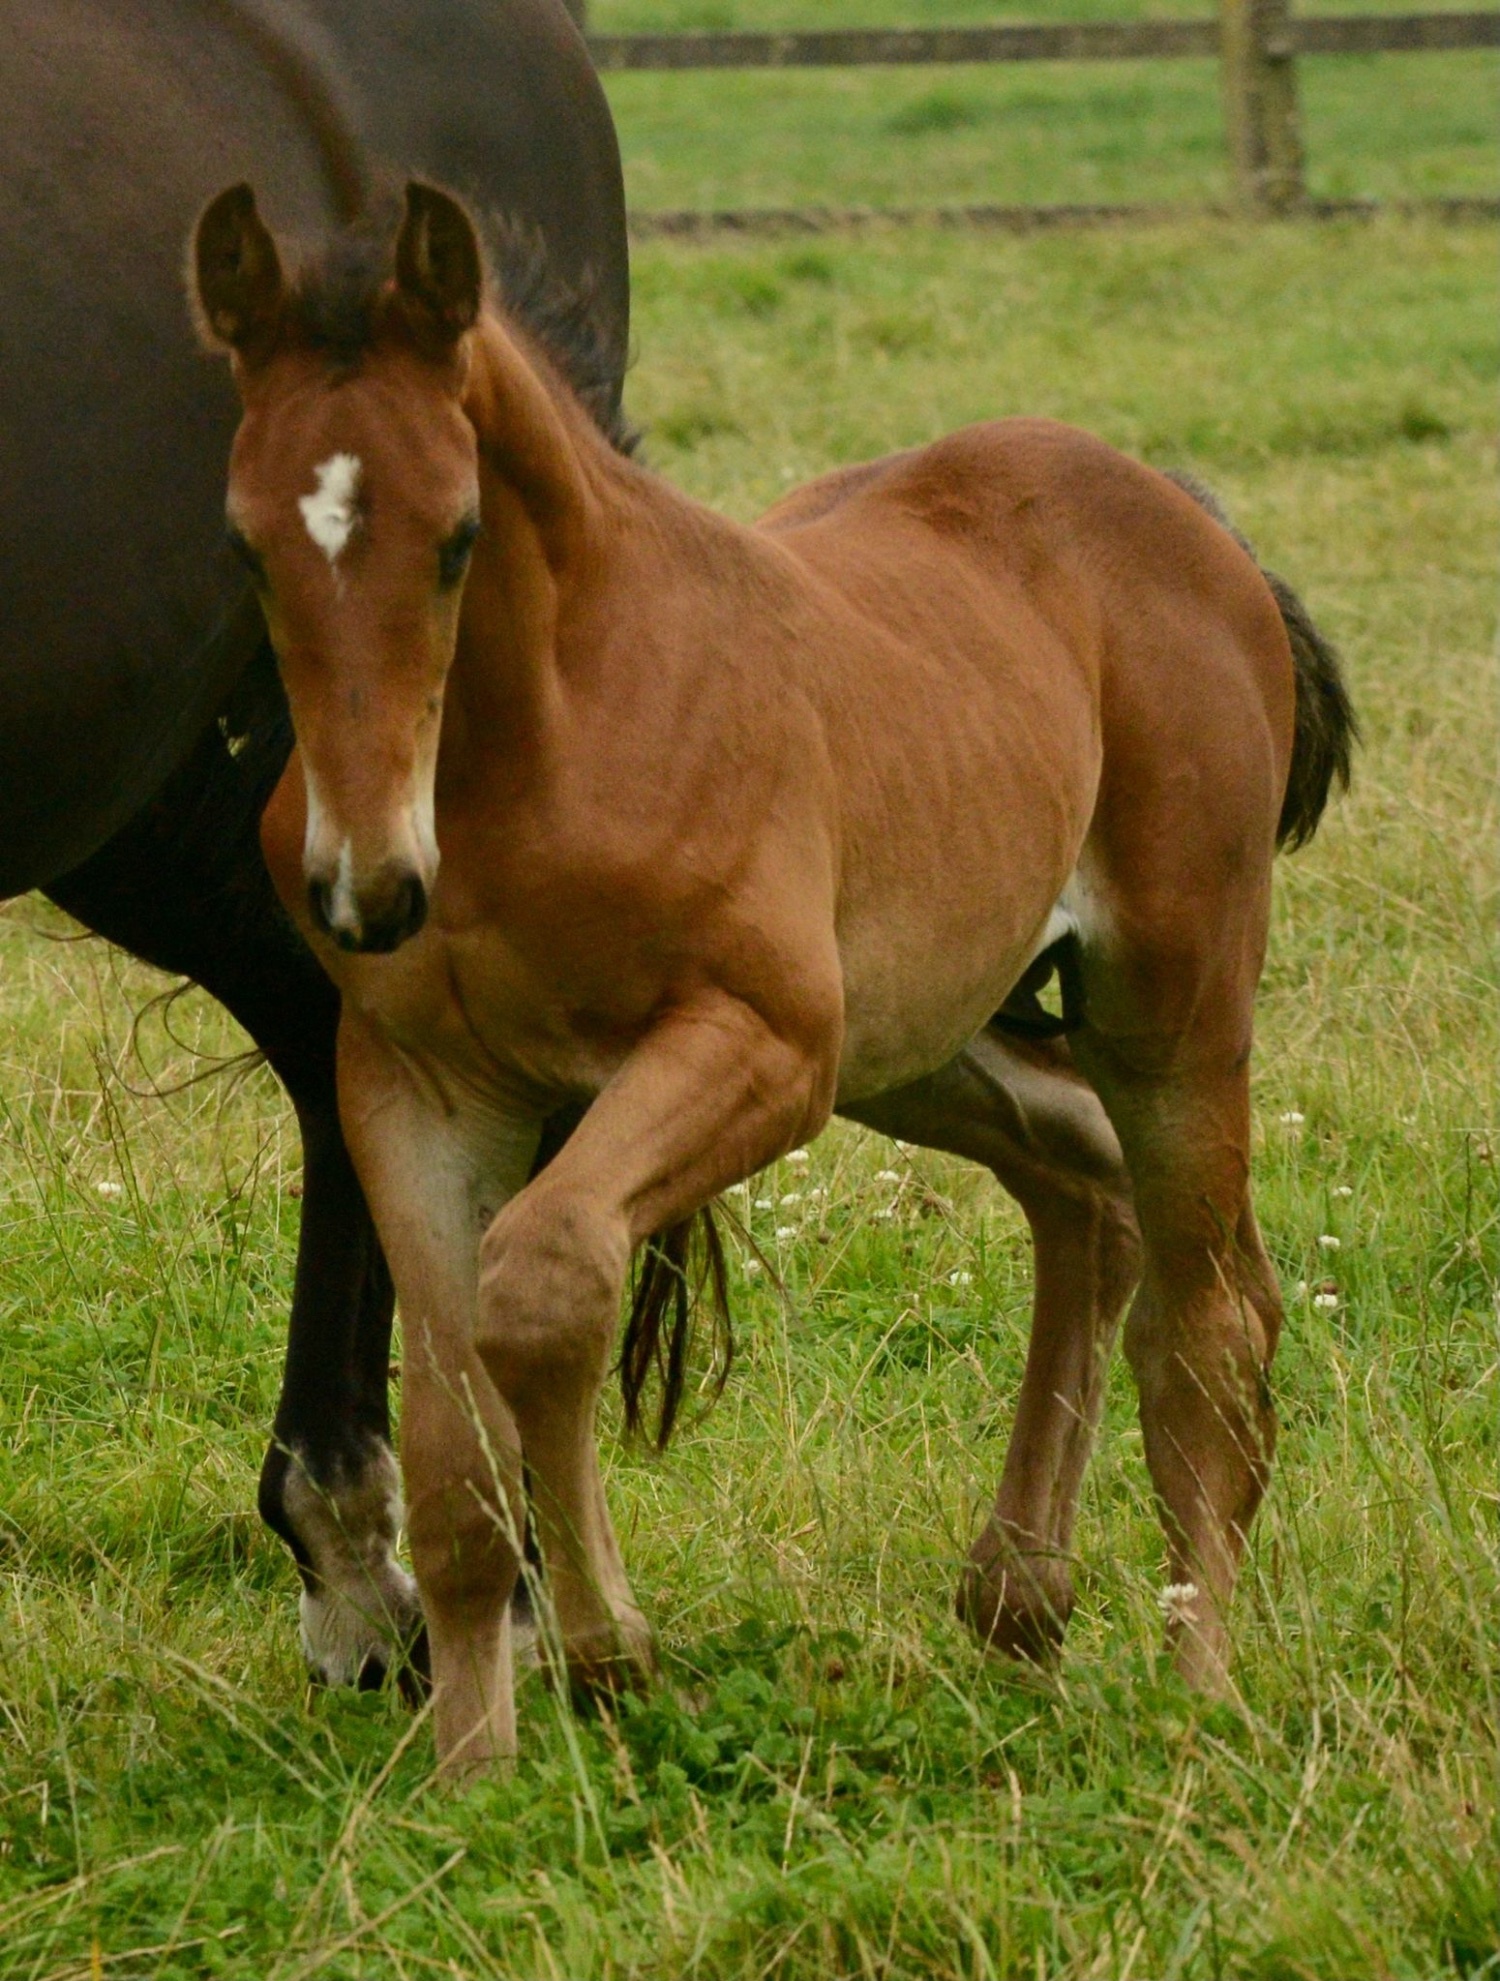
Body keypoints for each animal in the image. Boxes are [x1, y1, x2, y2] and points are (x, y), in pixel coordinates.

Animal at [190, 180, 1355, 1774]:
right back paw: (1018, 1597)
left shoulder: (759, 1042)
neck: (544, 738)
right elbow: (451, 1438)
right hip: (922, 1034)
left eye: (457, 536)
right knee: (1083, 1186)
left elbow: (547, 1277)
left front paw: (612, 1650)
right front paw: (472, 1770)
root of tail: (1191, 516)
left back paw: (1199, 1690)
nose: (367, 889)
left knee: (1210, 1321)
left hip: (1160, 1004)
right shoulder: (419, 1084)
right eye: (248, 547)